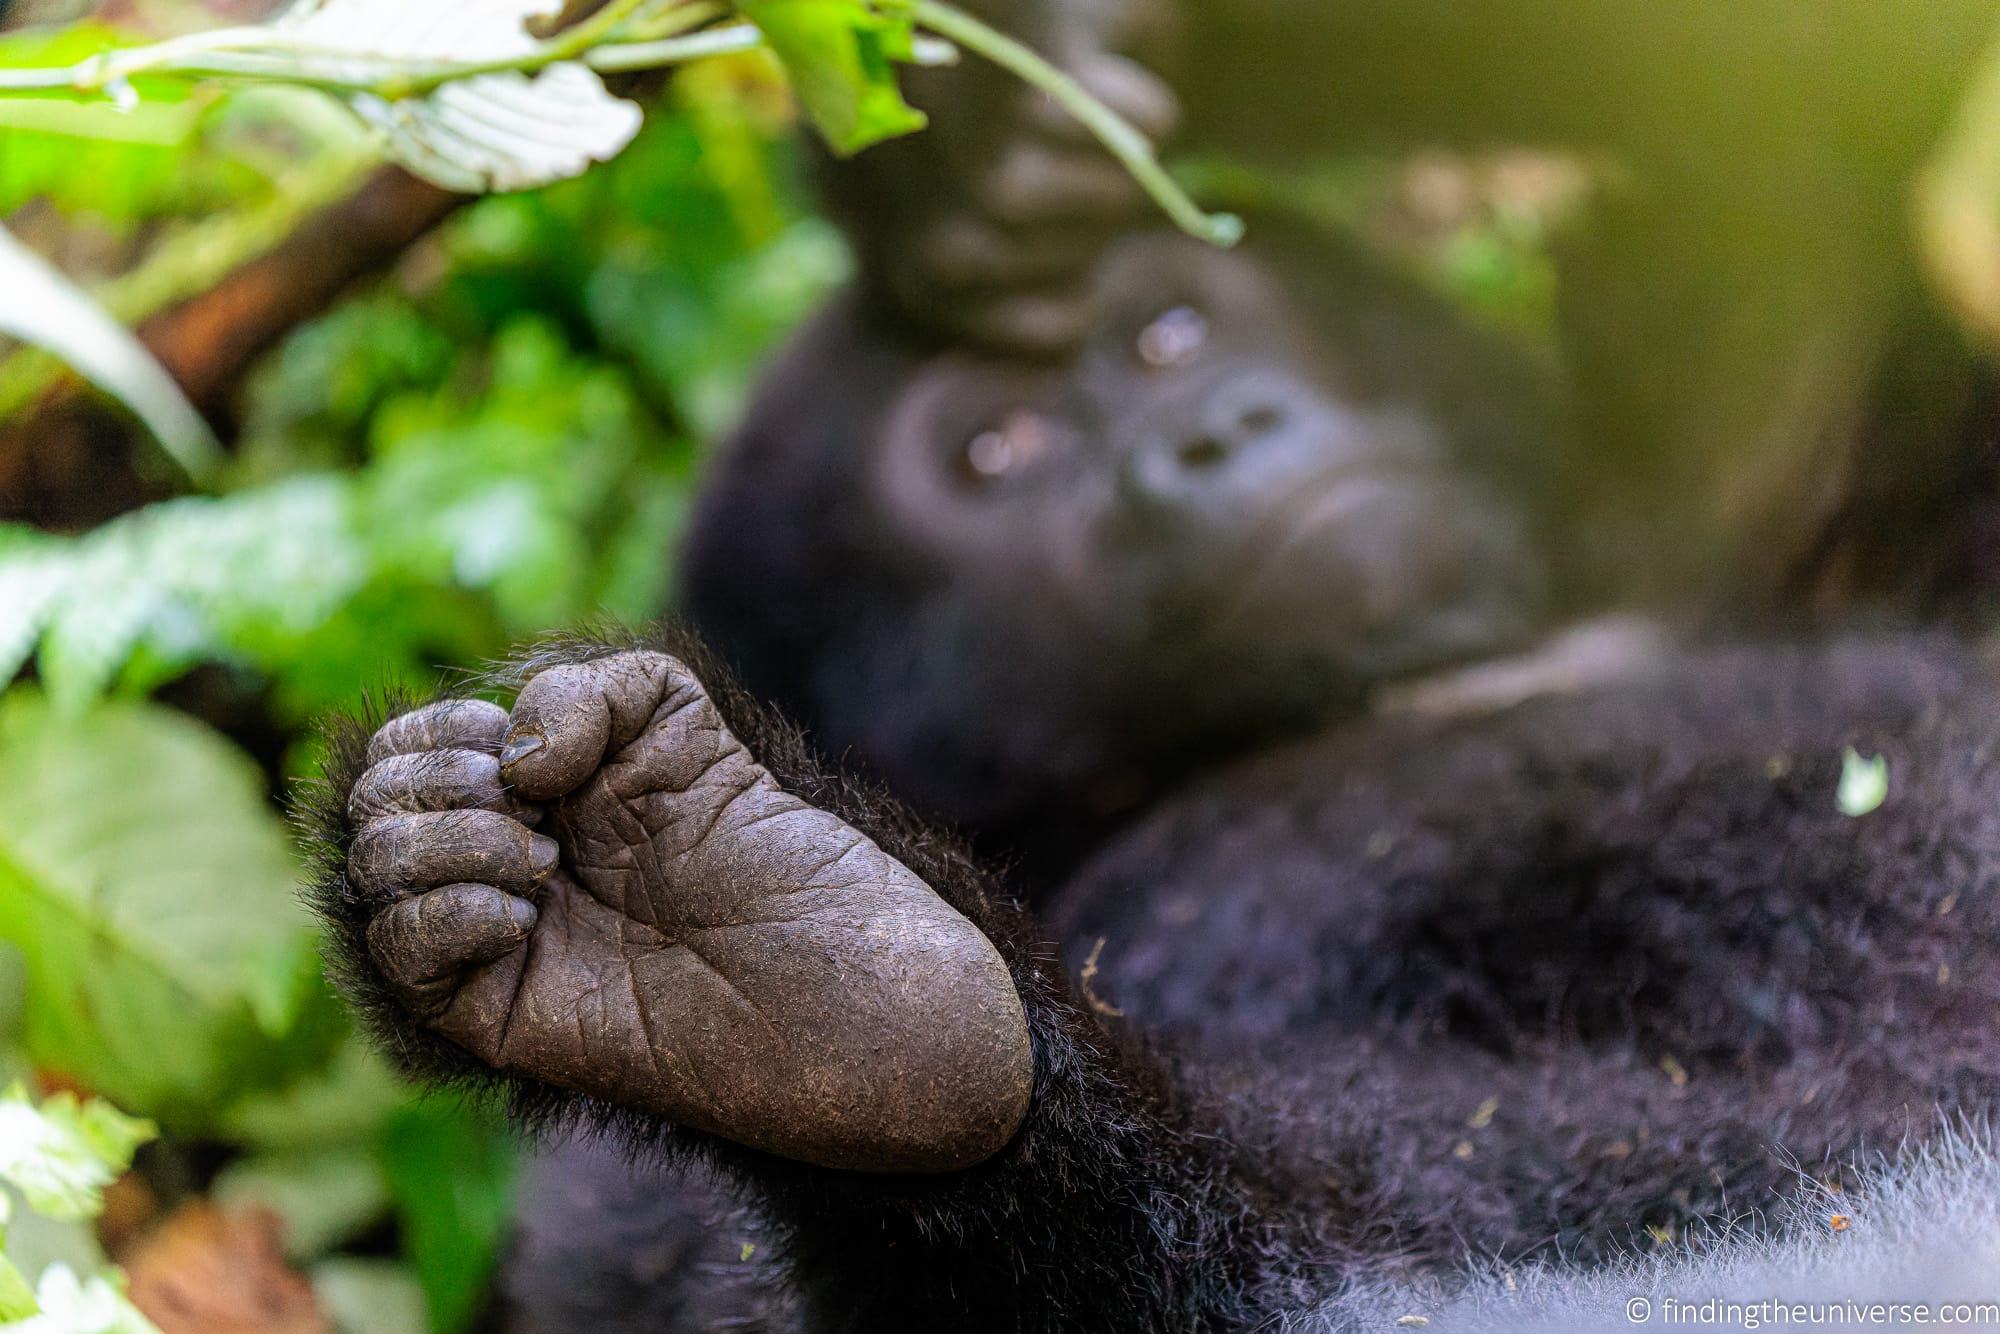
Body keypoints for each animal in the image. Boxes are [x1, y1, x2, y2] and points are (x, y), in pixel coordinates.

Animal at [300, 2, 2000, 1334]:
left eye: (1171, 334)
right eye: (994, 452)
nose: (1208, 433)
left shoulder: (1726, 455)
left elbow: (1801, 105)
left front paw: (981, 122)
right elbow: (636, 1259)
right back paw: (820, 991)